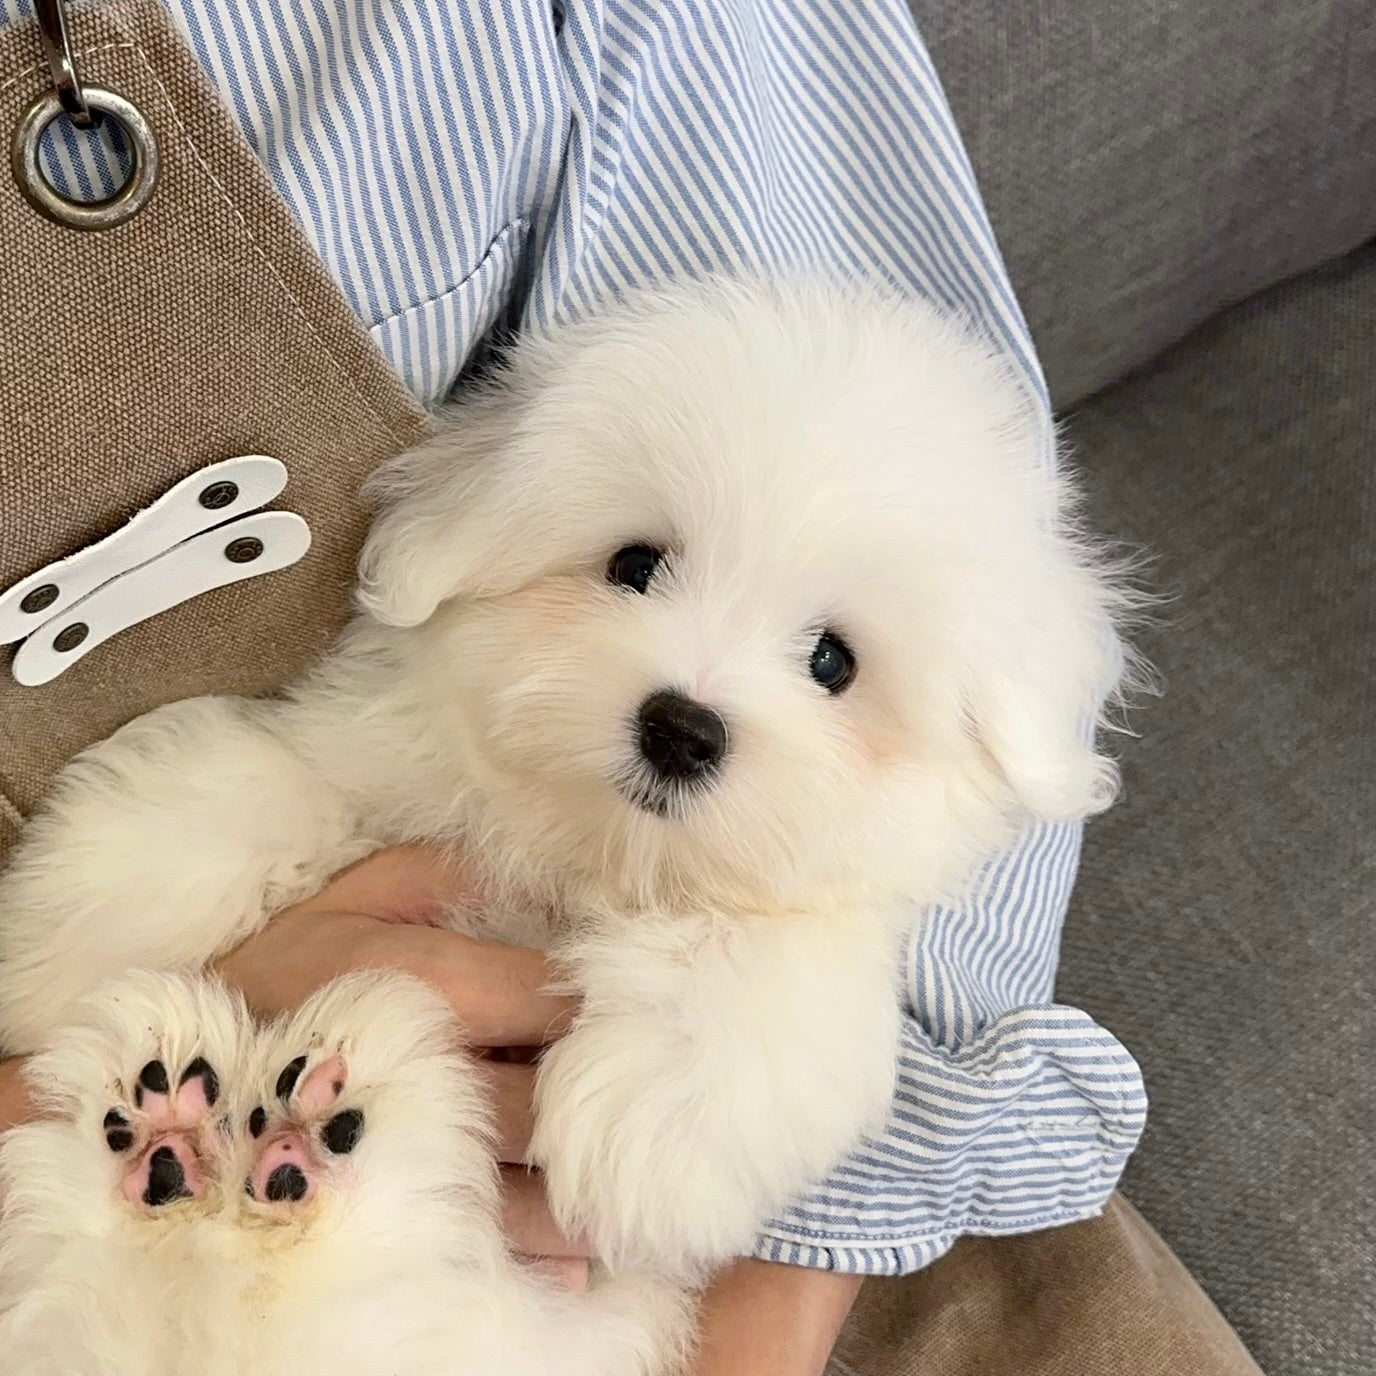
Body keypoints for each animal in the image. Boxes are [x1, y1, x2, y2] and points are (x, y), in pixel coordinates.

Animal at [0, 276, 1128, 1287]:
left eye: (831, 663)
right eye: (633, 564)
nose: (681, 729)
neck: (584, 843)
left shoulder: (818, 915)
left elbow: (756, 961)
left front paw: (662, 1124)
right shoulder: (377, 759)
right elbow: (262, 783)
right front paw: (62, 945)